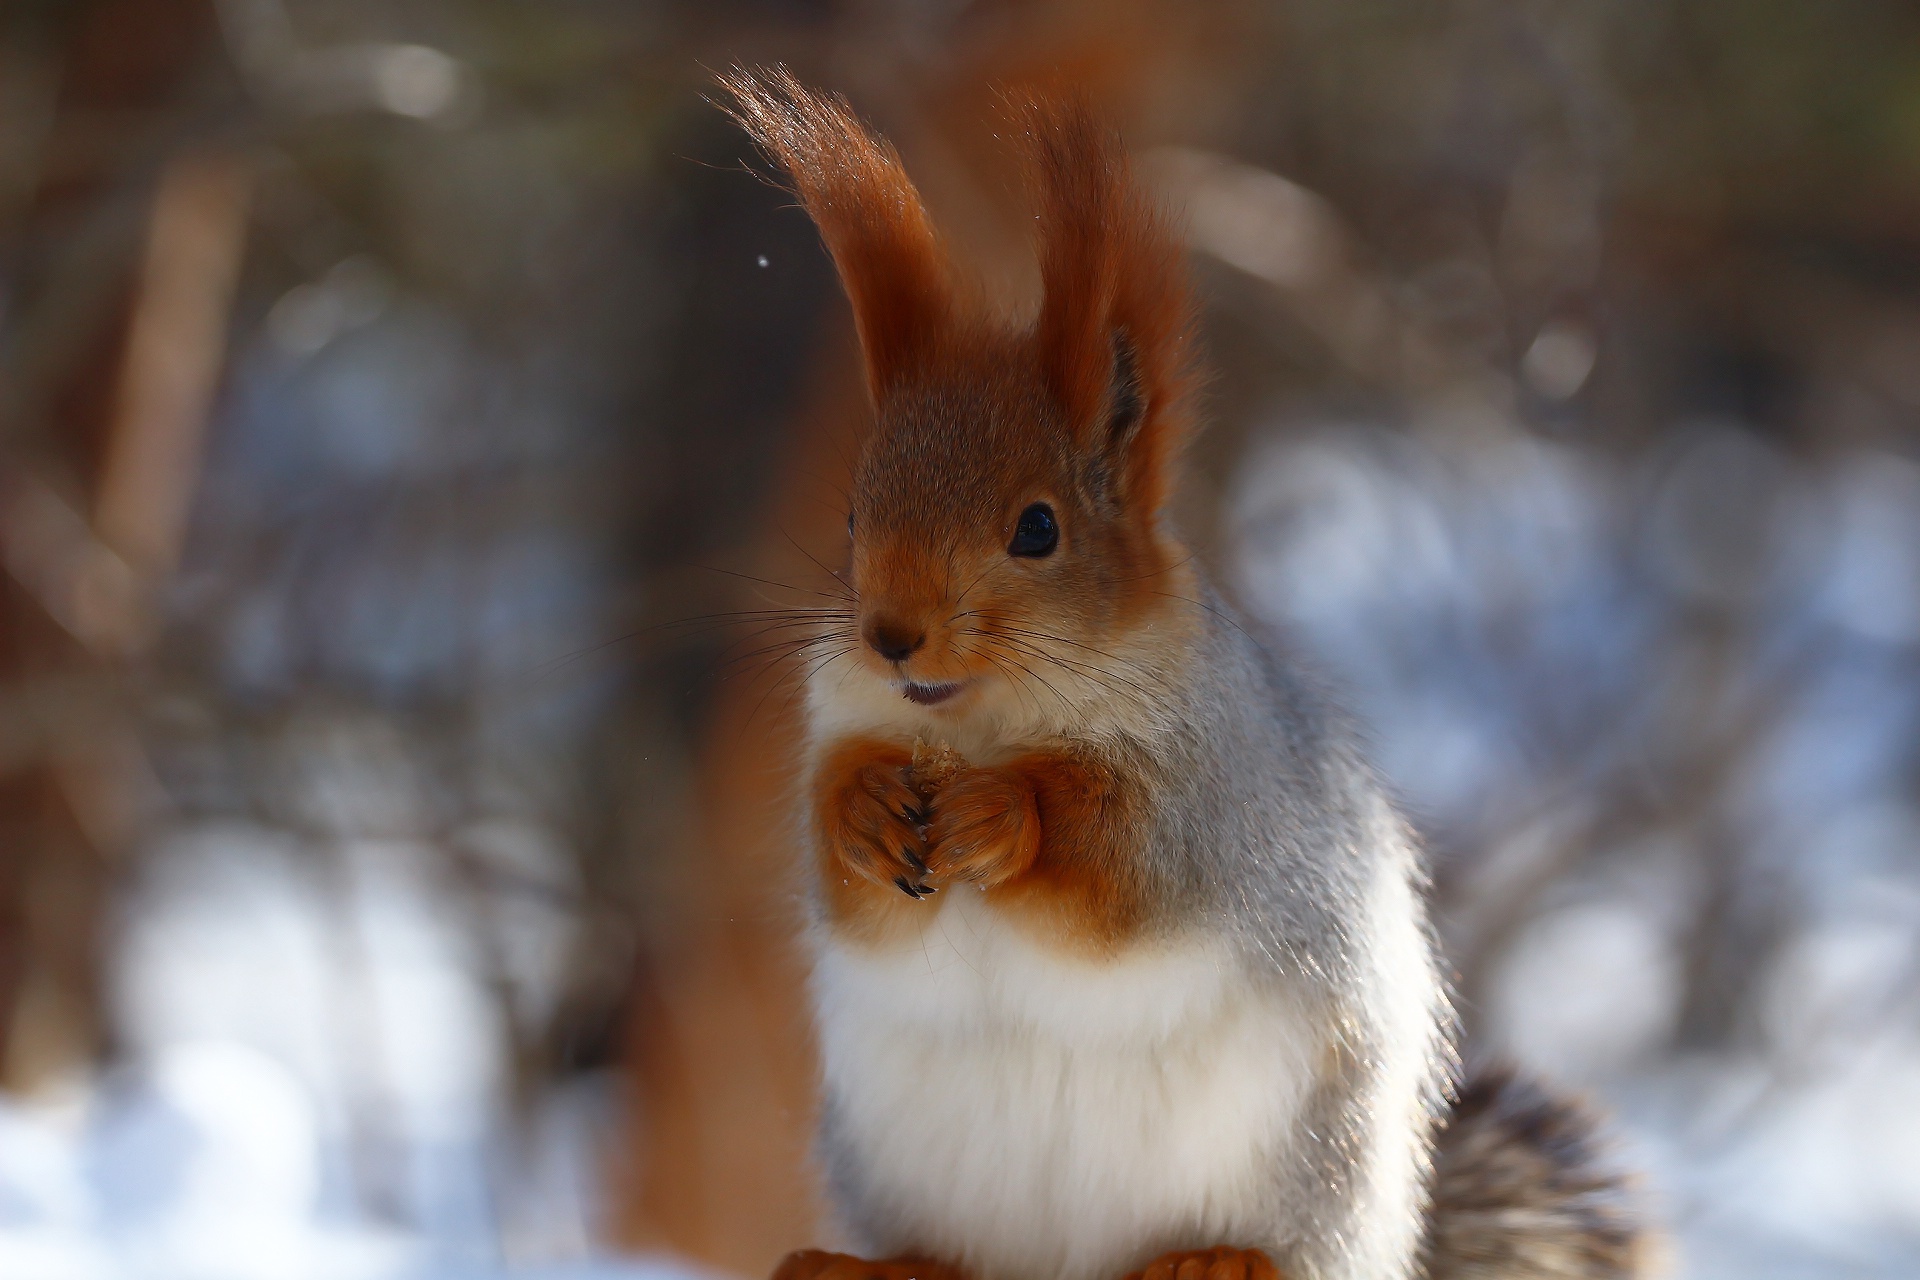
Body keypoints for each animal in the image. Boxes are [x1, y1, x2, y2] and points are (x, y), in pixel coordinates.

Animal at [714, 65, 1643, 1280]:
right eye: (858, 514)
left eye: (1039, 528)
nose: (890, 635)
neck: (980, 724)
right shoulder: (842, 727)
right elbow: (847, 882)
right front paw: (866, 808)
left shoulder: (1215, 796)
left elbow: (1122, 870)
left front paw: (1005, 816)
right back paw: (884, 1260)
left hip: (1310, 1161)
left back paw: (1216, 1256)